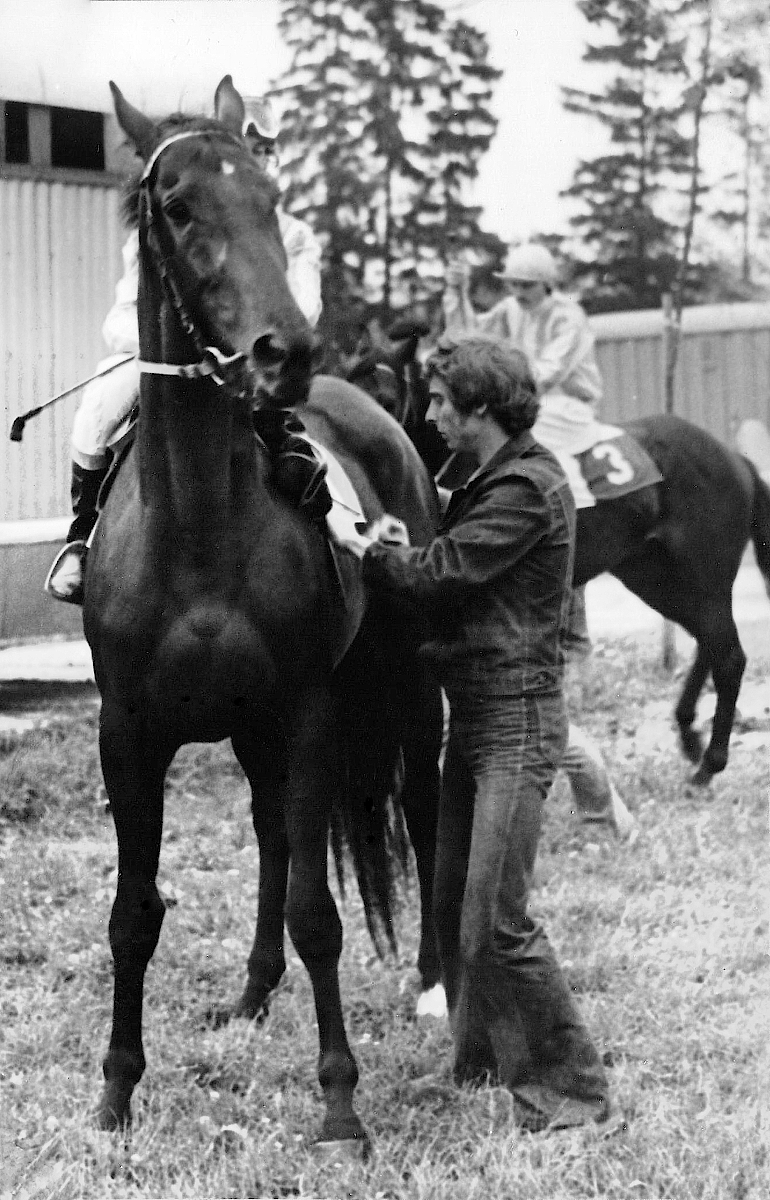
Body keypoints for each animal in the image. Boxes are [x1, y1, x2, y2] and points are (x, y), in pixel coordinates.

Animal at [82, 78, 444, 1150]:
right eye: (178, 207)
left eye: (273, 199)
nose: (286, 349)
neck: (201, 528)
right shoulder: (129, 733)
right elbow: (133, 913)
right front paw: (116, 1093)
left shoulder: (310, 708)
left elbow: (320, 912)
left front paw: (339, 1105)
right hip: (249, 729)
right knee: (275, 830)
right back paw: (251, 991)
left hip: (406, 687)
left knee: (425, 810)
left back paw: (435, 983)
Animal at [345, 321, 770, 786]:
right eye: (346, 381)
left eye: (387, 400)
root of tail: (736, 460)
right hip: (658, 579)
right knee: (708, 644)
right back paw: (689, 733)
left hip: (703, 577)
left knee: (728, 656)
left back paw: (710, 761)